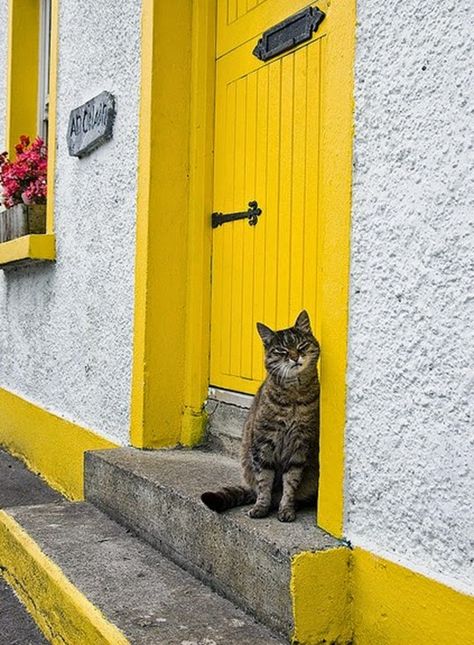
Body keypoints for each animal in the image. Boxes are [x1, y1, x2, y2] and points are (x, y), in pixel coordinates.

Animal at [202, 310, 320, 520]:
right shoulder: (263, 443)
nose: (294, 357)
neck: (293, 396)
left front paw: (286, 509)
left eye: (301, 346)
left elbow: (291, 482)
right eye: (281, 350)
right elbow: (264, 480)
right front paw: (261, 507)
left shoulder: (300, 446)